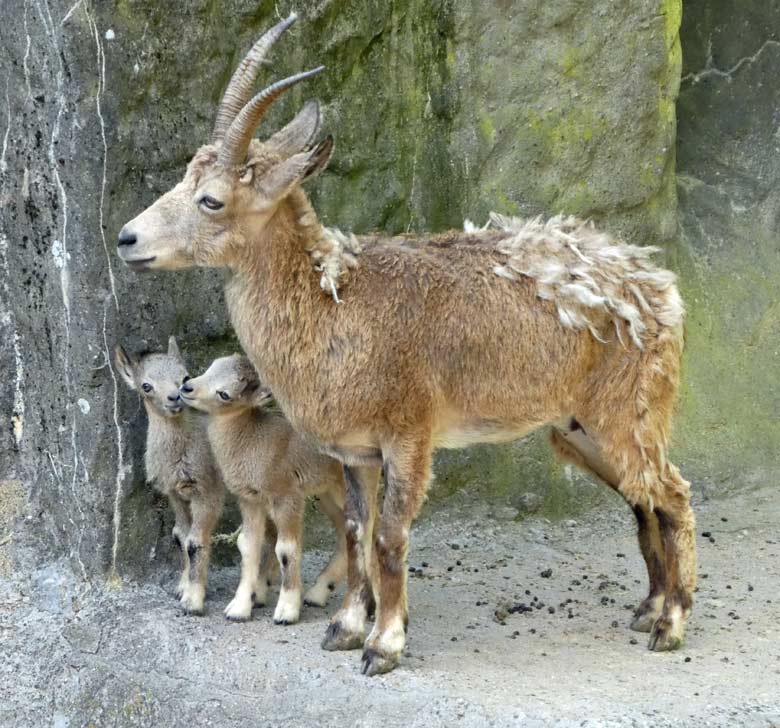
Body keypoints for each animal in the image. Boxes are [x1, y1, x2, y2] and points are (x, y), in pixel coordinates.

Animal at [119, 14, 696, 676]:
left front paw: (384, 644)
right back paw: (648, 609)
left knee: (673, 494)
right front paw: (345, 627)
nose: (127, 238)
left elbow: (391, 535)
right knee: (645, 499)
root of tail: (658, 287)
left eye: (211, 198)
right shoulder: (355, 451)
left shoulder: (409, 434)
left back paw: (671, 624)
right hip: (580, 429)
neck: (336, 305)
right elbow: (354, 531)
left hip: (628, 413)